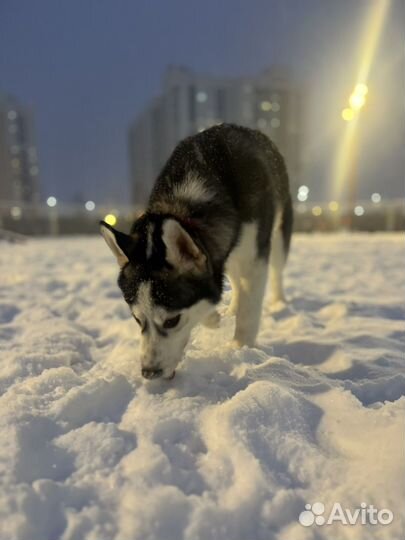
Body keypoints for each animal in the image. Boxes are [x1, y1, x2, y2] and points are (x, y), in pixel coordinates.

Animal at [100, 125, 292, 382]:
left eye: (172, 321)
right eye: (137, 319)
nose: (149, 372)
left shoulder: (253, 258)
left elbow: (248, 310)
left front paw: (240, 349)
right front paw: (213, 317)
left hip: (278, 228)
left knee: (276, 269)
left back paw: (278, 303)